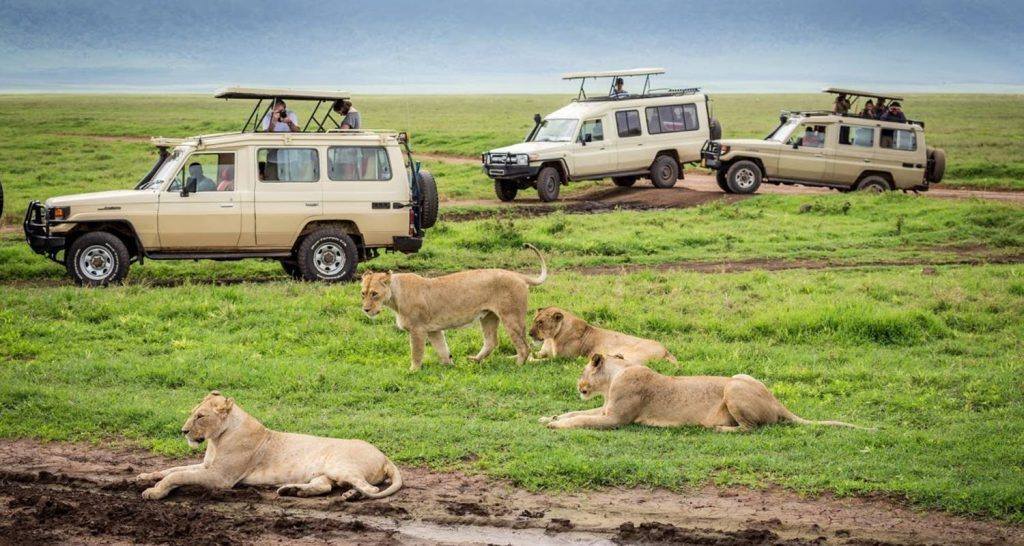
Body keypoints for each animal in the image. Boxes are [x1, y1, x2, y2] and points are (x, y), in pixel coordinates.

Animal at [136, 392, 402, 500]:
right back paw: (293, 491)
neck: (217, 439)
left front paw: (154, 492)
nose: (183, 431)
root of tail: (385, 456)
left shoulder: (221, 478)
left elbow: (177, 475)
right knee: (324, 487)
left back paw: (351, 495)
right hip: (325, 474)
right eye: (193, 413)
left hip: (339, 466)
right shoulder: (207, 466)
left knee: (371, 488)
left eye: (200, 416)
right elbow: (172, 470)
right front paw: (144, 477)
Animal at [361, 244, 547, 371]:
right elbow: (442, 349)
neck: (395, 296)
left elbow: (416, 352)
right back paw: (475, 360)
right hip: (488, 316)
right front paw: (449, 365)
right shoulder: (433, 330)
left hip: (511, 316)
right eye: (363, 293)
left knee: (524, 346)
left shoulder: (417, 329)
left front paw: (413, 371)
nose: (365, 310)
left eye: (374, 294)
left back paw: (517, 365)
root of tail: (518, 275)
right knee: (491, 341)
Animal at [529, 307, 676, 365]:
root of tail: (666, 349)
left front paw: (531, 360)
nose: (529, 334)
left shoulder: (561, 358)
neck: (551, 338)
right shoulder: (544, 352)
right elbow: (530, 355)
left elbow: (541, 361)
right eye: (534, 320)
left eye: (540, 323)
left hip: (637, 354)